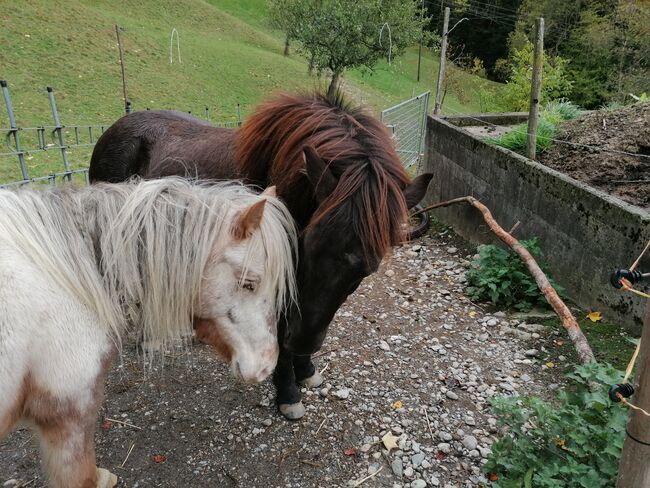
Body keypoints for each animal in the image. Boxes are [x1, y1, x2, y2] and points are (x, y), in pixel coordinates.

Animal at [87, 92, 430, 420]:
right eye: (306, 247)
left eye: (366, 271)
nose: (302, 343)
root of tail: (117, 126)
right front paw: (288, 392)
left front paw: (306, 369)